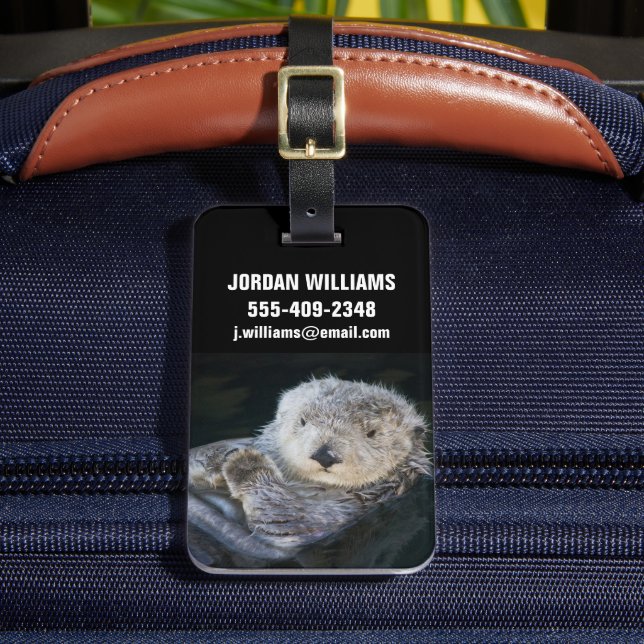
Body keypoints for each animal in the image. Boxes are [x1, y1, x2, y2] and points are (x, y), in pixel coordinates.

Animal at [189, 376, 431, 550]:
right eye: (303, 421)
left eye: (372, 433)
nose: (325, 455)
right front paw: (218, 459)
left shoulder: (344, 511)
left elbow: (286, 518)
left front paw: (246, 463)